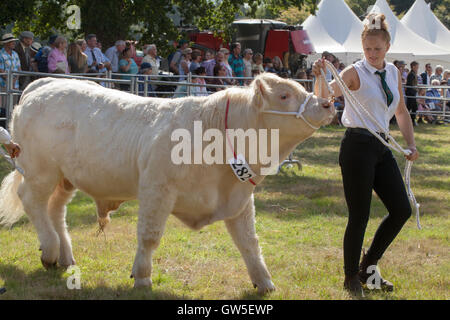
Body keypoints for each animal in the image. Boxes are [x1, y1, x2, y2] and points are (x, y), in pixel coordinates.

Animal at [0, 73, 332, 292]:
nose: (327, 104)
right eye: (284, 96)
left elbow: (249, 242)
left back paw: (65, 257)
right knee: (32, 201)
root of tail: (44, 84)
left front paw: (264, 282)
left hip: (65, 178)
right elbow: (149, 236)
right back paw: (50, 251)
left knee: (55, 210)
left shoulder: (238, 198)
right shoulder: (156, 189)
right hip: (41, 171)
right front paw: (143, 276)